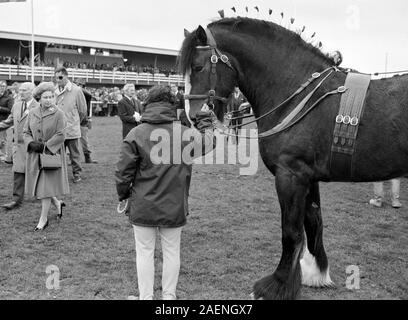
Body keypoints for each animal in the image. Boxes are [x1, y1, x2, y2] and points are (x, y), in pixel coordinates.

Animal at [178, 16, 408, 300]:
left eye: (198, 67)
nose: (194, 117)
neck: (298, 96)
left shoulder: (291, 175)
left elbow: (291, 232)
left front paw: (276, 285)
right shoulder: (308, 177)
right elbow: (313, 222)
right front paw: (316, 272)